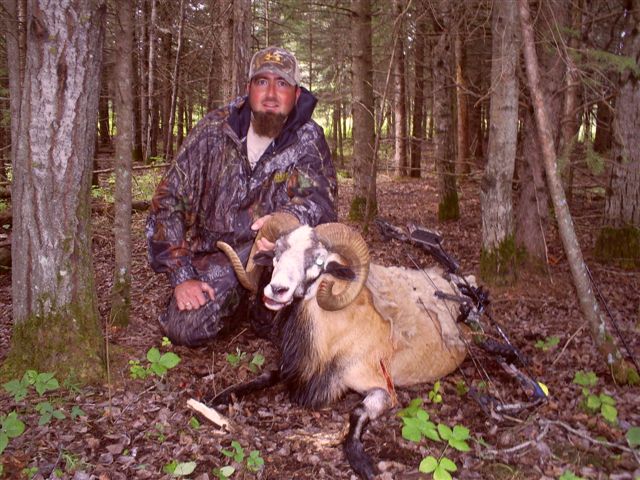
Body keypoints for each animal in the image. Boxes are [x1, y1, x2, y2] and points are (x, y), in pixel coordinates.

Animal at [212, 213, 469, 479]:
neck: (334, 337)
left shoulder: (382, 391)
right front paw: (220, 397)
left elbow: (356, 413)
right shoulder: (291, 367)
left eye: (319, 260)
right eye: (277, 252)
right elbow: (262, 377)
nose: (277, 290)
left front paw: (363, 464)